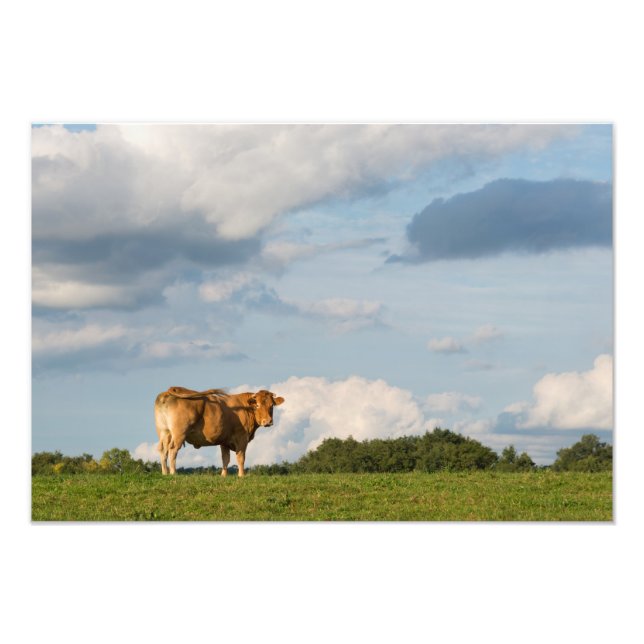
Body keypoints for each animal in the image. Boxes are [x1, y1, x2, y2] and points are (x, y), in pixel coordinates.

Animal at [154, 386, 284, 476]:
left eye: (271, 405)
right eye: (257, 405)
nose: (268, 421)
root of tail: (167, 392)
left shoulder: (224, 440)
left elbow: (225, 459)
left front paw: (223, 475)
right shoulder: (242, 438)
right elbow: (241, 457)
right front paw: (241, 475)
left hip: (164, 432)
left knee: (163, 450)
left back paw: (164, 473)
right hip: (179, 433)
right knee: (172, 449)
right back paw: (173, 473)